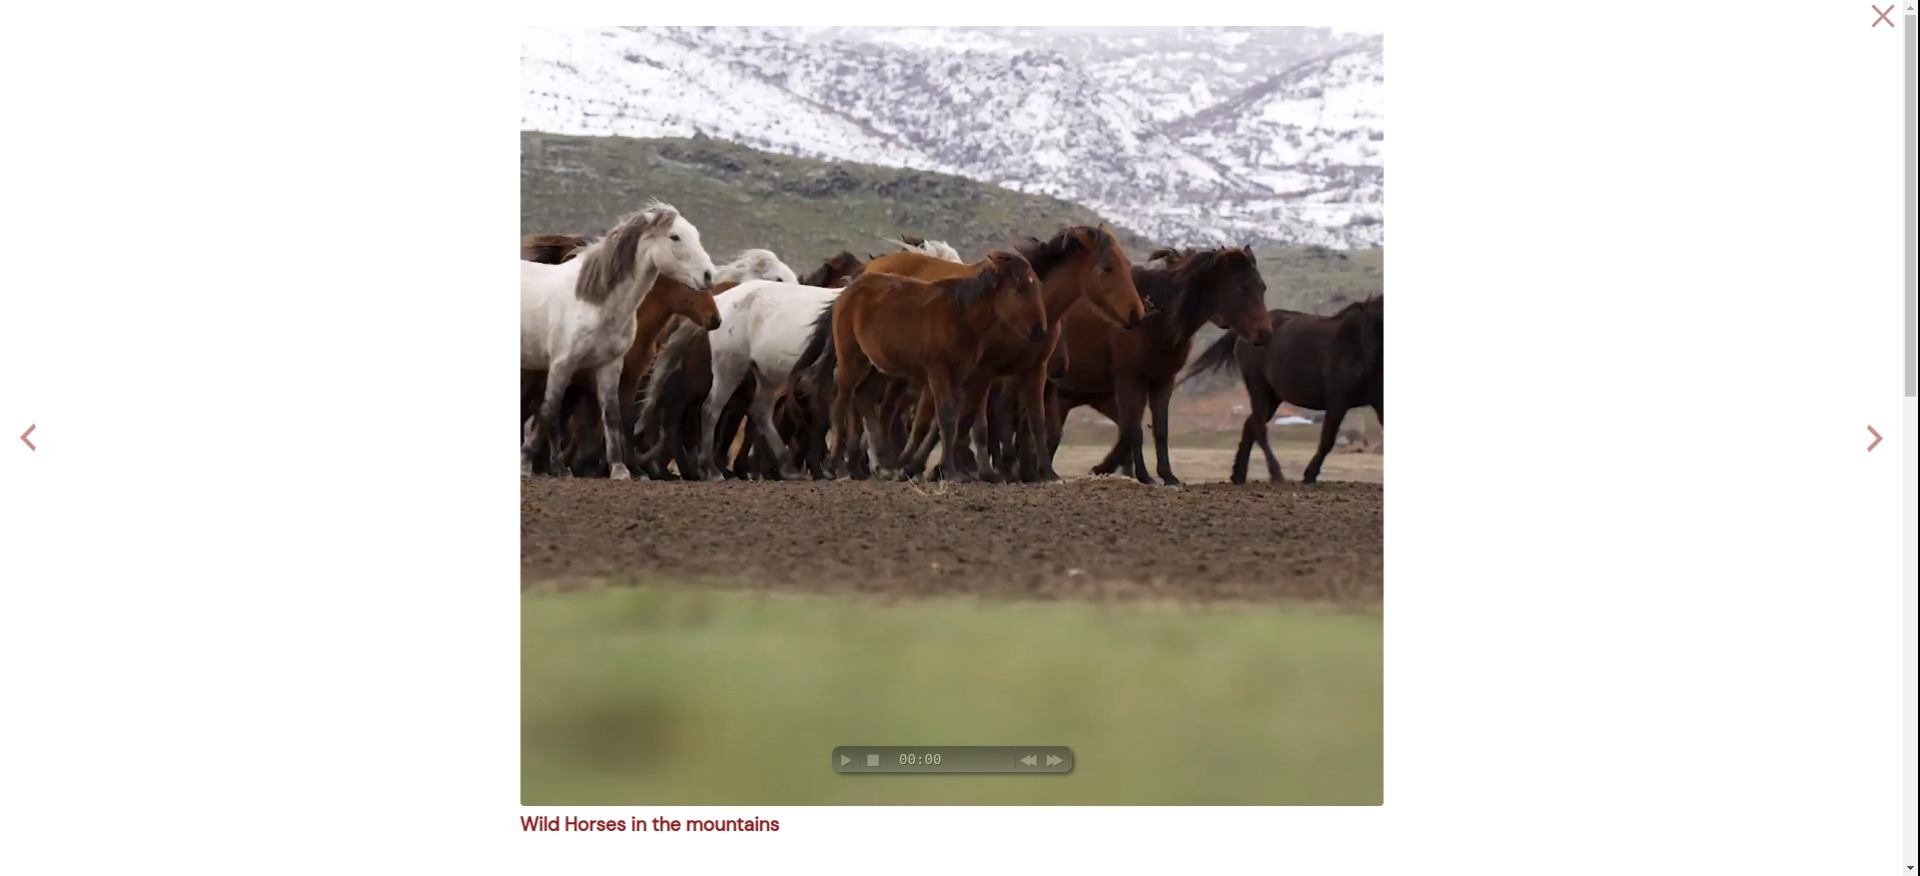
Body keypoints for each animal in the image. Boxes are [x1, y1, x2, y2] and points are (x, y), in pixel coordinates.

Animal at [518, 199, 714, 478]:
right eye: (674, 236)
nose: (709, 275)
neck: (593, 302)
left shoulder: (610, 366)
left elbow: (612, 415)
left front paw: (620, 470)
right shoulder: (562, 364)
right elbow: (548, 410)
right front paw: (525, 465)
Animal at [695, 278, 837, 478]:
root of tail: (721, 299)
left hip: (769, 377)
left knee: (760, 412)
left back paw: (787, 467)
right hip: (730, 368)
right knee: (711, 410)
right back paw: (713, 470)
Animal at [821, 251, 1044, 486]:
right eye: (1020, 288)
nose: (1039, 331)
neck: (960, 315)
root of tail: (847, 292)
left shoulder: (959, 376)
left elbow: (953, 420)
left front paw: (945, 469)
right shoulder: (938, 373)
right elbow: (945, 417)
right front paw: (951, 472)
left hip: (877, 367)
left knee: (865, 398)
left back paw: (884, 466)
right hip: (851, 359)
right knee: (840, 402)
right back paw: (839, 466)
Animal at [1036, 244, 1274, 486]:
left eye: (1262, 287)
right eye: (1240, 289)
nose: (1264, 333)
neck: (1153, 320)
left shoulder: (1162, 381)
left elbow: (1158, 430)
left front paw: (1167, 475)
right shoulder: (1130, 381)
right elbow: (1133, 430)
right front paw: (1143, 475)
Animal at [1175, 297, 1390, 482]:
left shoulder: (1378, 402)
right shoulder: (1338, 400)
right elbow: (1327, 439)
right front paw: (1309, 475)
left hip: (1274, 396)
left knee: (1250, 425)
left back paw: (1239, 475)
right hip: (1258, 387)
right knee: (1259, 428)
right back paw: (1276, 474)